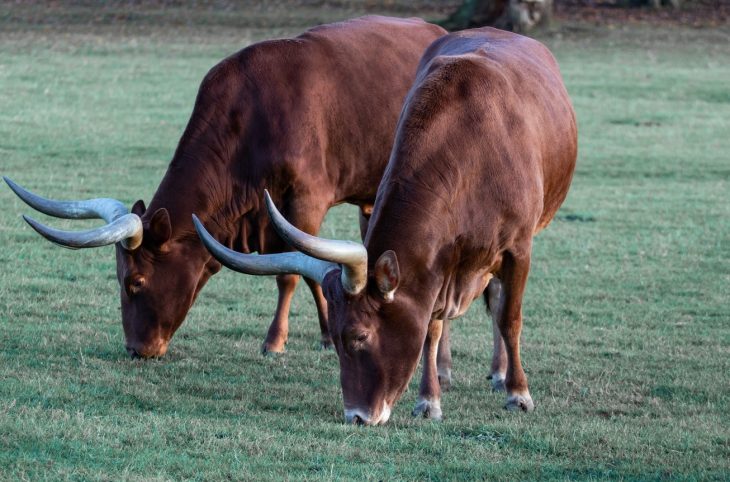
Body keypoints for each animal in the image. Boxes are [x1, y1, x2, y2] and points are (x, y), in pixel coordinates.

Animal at [2, 16, 444, 358]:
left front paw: (283, 341)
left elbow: (295, 272)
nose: (136, 350)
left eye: (136, 282)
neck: (251, 116)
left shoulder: (304, 201)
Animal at [195, 28, 576, 424]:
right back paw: (445, 370)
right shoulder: (436, 263)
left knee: (499, 303)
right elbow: (430, 328)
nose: (356, 416)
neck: (471, 146)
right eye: (335, 339)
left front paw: (519, 393)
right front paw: (429, 399)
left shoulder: (518, 250)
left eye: (360, 336)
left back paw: (501, 374)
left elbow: (510, 318)